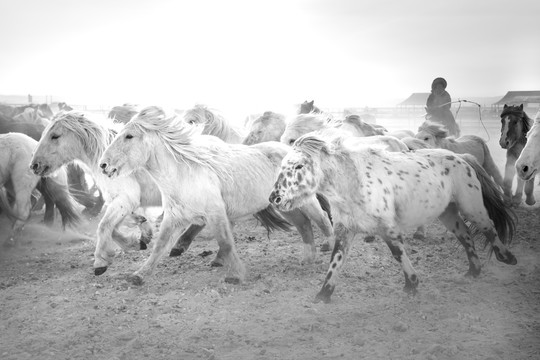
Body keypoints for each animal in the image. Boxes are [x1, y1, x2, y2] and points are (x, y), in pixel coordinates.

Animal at [29, 111, 159, 274]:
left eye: (55, 136)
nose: (34, 165)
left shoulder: (125, 199)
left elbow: (104, 225)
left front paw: (100, 262)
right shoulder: (123, 201)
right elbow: (115, 226)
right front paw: (138, 240)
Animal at [98, 105, 332, 286]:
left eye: (129, 136)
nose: (103, 165)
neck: (183, 175)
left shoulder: (215, 213)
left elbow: (226, 243)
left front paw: (236, 275)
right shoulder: (174, 218)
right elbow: (159, 246)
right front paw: (139, 275)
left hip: (305, 201)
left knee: (322, 220)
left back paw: (328, 249)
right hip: (282, 205)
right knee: (303, 224)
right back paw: (308, 259)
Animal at [270, 135, 520, 304]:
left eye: (299, 165)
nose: (275, 198)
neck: (353, 183)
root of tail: (462, 157)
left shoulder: (387, 228)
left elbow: (398, 253)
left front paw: (411, 285)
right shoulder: (346, 230)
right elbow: (336, 261)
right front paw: (323, 294)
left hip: (471, 207)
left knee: (489, 228)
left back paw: (507, 258)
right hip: (448, 213)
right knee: (466, 235)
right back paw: (473, 271)